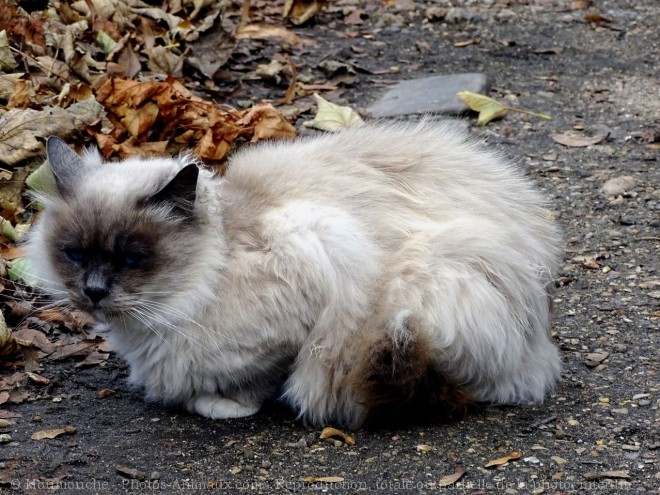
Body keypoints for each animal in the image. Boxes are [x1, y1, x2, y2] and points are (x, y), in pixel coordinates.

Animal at [27, 122, 564, 428]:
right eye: (74, 254)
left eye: (131, 259)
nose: (94, 292)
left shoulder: (314, 268)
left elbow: (261, 376)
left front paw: (225, 404)